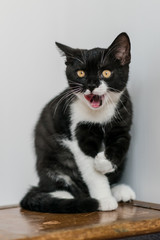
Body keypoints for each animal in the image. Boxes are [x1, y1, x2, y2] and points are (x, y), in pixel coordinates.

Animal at [20, 32, 135, 214]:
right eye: (80, 73)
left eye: (106, 73)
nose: (91, 85)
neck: (100, 115)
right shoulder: (77, 131)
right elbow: (91, 170)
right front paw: (104, 198)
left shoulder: (122, 121)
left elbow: (121, 144)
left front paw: (104, 163)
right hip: (52, 163)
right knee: (55, 184)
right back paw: (66, 197)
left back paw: (119, 190)